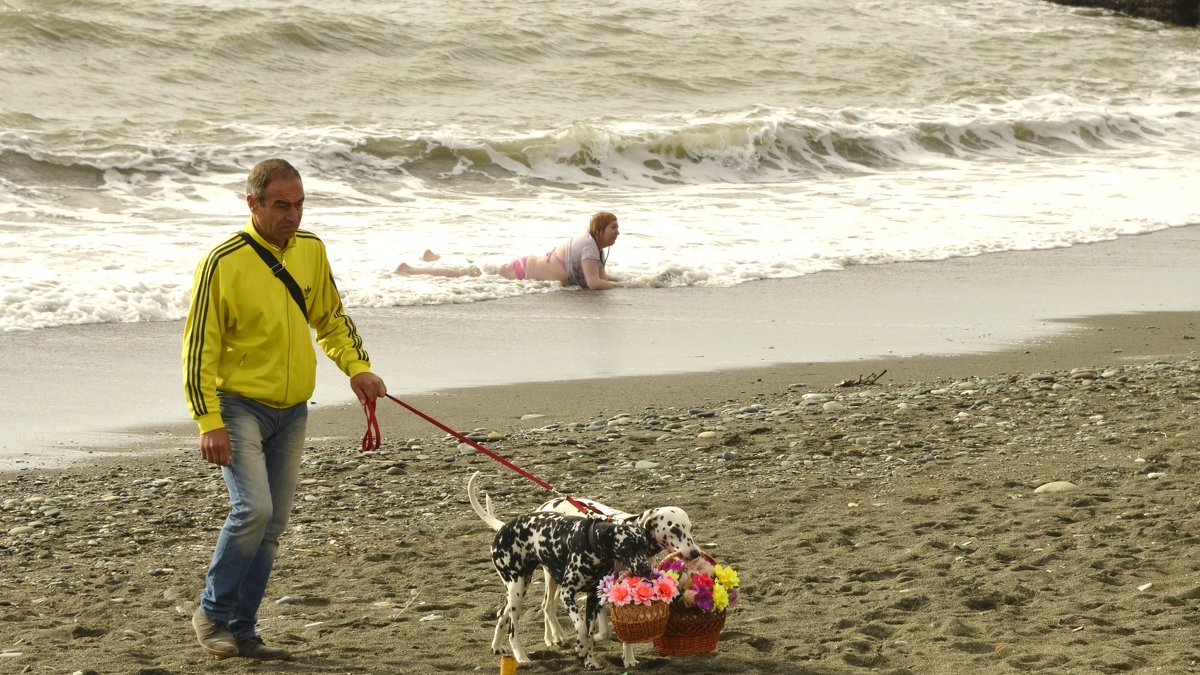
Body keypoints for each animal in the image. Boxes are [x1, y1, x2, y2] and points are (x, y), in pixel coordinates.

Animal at [463, 470, 700, 662]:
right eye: (674, 529)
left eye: (690, 528)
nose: (695, 553)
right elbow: (597, 630)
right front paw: (591, 640)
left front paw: (628, 657)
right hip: (528, 585)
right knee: (537, 611)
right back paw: (535, 648)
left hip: (523, 585)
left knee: (505, 613)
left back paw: (500, 645)